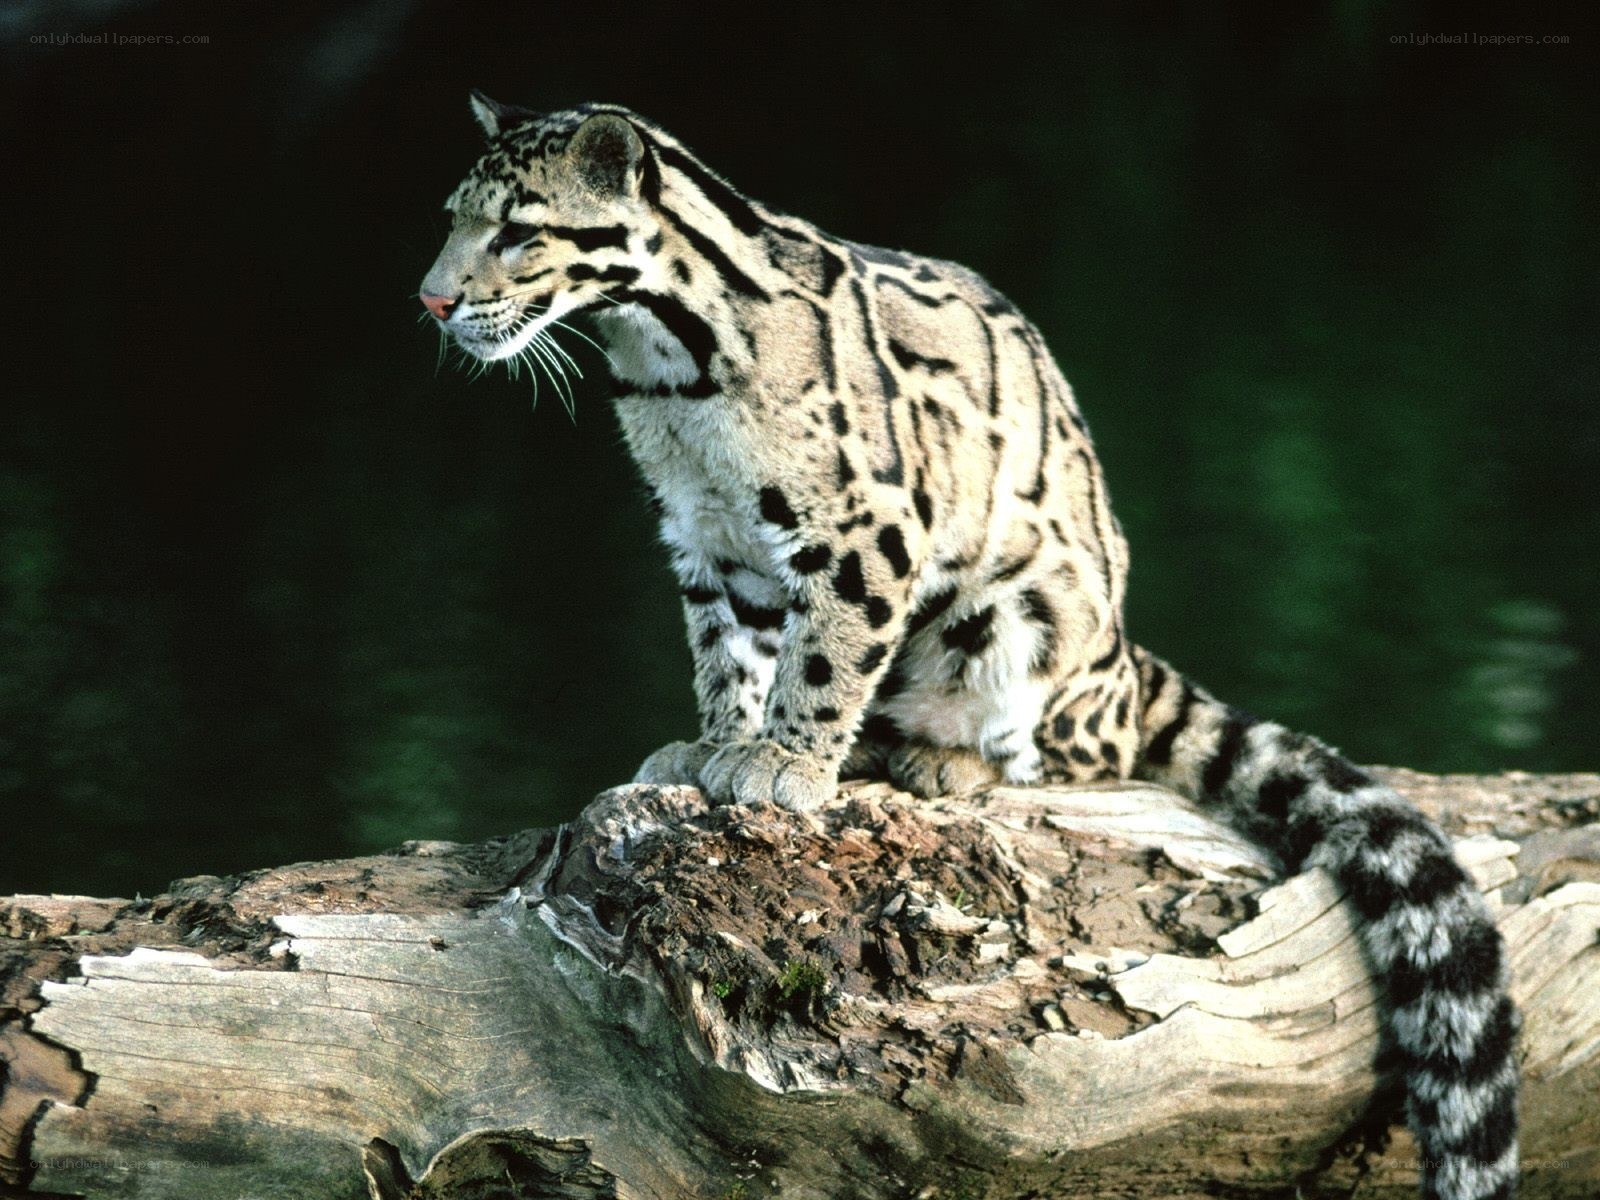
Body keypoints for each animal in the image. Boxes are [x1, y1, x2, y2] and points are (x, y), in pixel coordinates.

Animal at [420, 94, 1518, 1200]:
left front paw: (782, 765)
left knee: (1064, 757)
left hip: (1017, 619)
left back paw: (938, 758)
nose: (431, 300)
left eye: (517, 232)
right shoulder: (705, 538)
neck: (668, 373)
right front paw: (716, 744)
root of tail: (1127, 665)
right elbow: (728, 653)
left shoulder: (865, 528)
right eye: (453, 218)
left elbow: (822, 660)